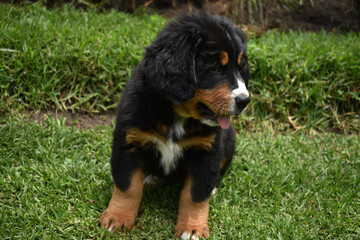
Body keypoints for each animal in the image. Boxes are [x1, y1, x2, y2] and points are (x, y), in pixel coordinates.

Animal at [98, 11, 250, 240]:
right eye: (215, 68)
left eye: (241, 69)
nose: (245, 100)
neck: (177, 115)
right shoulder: (128, 142)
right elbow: (127, 186)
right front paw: (117, 217)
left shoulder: (207, 152)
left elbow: (195, 194)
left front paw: (192, 228)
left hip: (229, 141)